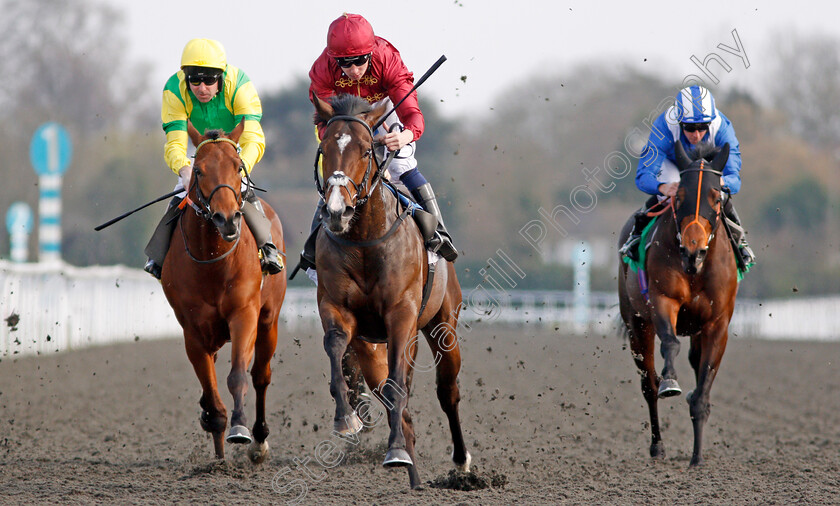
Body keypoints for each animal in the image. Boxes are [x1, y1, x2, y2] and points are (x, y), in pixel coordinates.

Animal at [159, 119, 288, 462]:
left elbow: (238, 375)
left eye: (238, 166)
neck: (212, 263)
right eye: (198, 170)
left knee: (261, 375)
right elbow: (210, 386)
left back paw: (259, 439)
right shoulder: (193, 329)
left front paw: (240, 430)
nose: (227, 218)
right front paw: (217, 451)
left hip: (268, 321)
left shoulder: (244, 314)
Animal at [314, 93, 472, 488]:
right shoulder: (336, 307)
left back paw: (461, 462)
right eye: (325, 148)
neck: (364, 241)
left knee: (447, 391)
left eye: (365, 149)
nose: (337, 211)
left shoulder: (402, 314)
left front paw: (397, 450)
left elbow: (398, 384)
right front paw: (346, 418)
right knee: (390, 393)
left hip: (442, 323)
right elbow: (335, 347)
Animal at [612, 141, 740, 466]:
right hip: (636, 323)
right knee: (648, 385)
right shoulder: (662, 301)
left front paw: (697, 458)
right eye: (679, 196)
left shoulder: (717, 323)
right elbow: (670, 345)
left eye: (716, 198)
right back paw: (657, 446)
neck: (696, 269)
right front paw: (670, 382)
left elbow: (702, 392)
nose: (693, 251)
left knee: (695, 363)